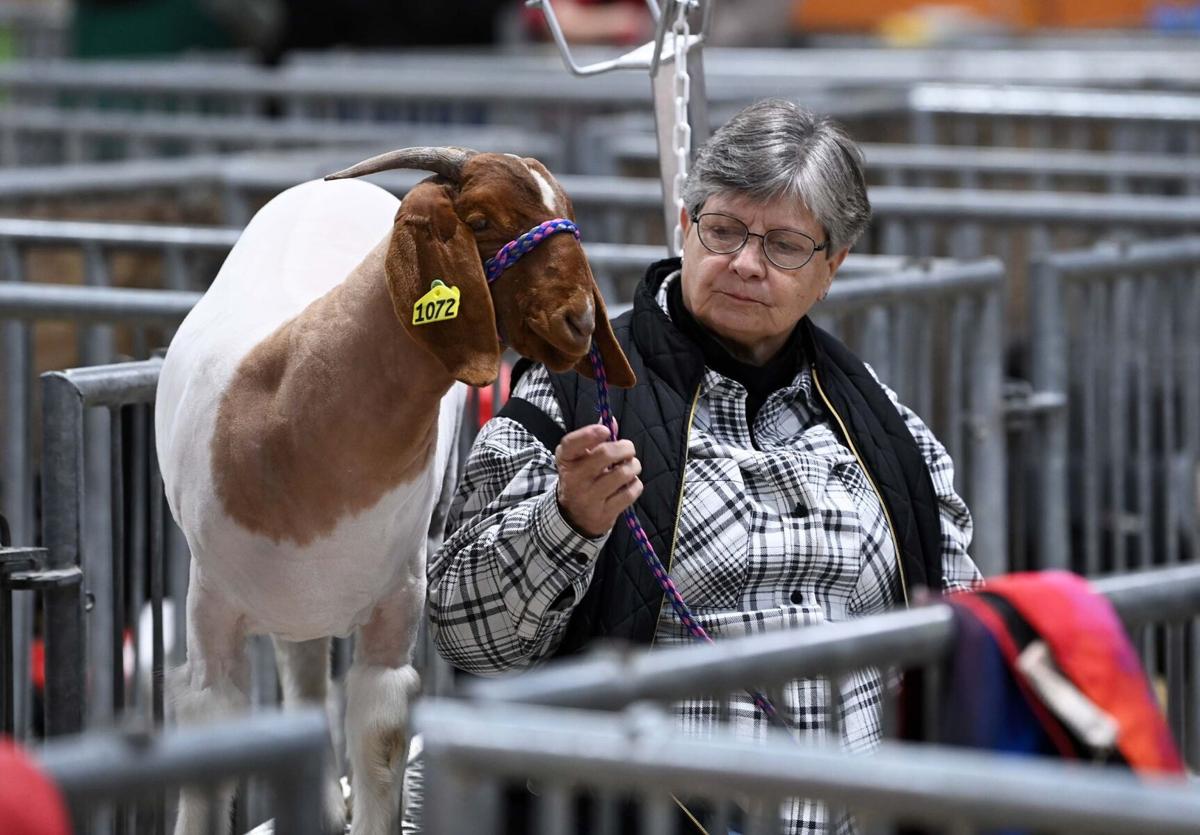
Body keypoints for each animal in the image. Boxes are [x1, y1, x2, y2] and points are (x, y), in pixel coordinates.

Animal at [157, 146, 638, 830]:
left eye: (566, 210)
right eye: (481, 220)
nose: (581, 321)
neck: (284, 401)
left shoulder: (399, 602)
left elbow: (380, 736)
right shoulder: (209, 611)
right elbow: (208, 758)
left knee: (306, 676)